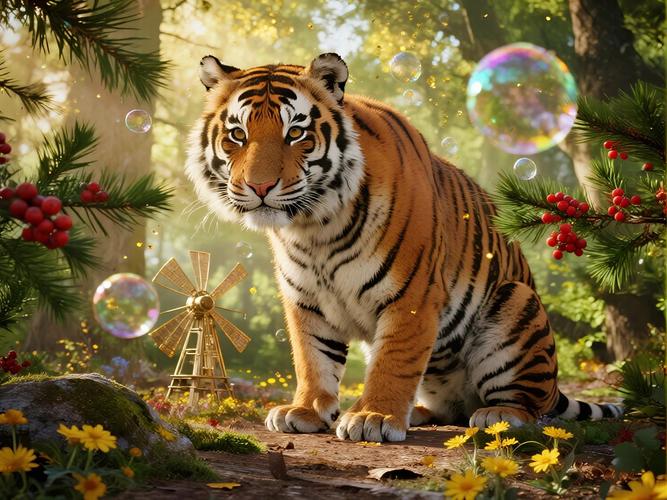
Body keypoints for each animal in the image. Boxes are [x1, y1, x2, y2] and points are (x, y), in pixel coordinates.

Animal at [186, 52, 623, 442]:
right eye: (238, 134)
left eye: (295, 133)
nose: (259, 187)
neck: (314, 228)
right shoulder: (306, 301)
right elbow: (312, 358)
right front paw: (306, 411)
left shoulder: (412, 294)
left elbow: (393, 361)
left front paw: (374, 418)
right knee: (450, 408)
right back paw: (422, 412)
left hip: (517, 304)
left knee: (533, 404)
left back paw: (500, 413)